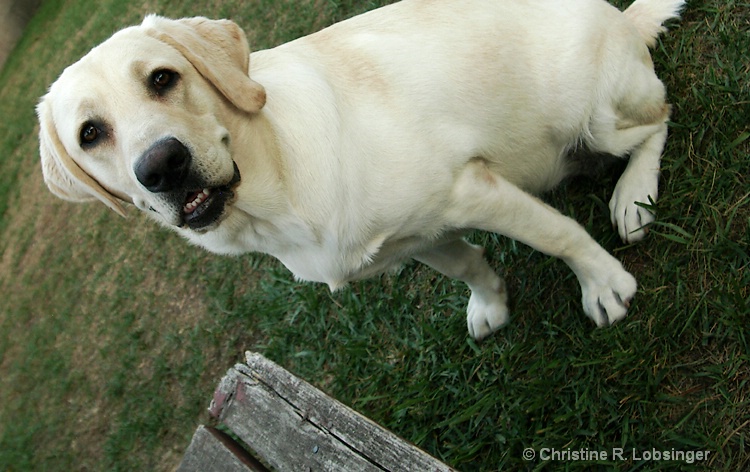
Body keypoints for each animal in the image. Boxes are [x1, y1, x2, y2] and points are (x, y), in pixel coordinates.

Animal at [41, 0, 688, 340]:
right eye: (90, 134)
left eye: (162, 78)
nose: (162, 165)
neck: (277, 187)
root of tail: (622, 17)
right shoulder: (418, 237)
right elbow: (469, 265)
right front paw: (490, 304)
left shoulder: (469, 188)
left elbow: (558, 234)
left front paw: (603, 284)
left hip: (589, 111)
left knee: (661, 116)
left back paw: (633, 197)